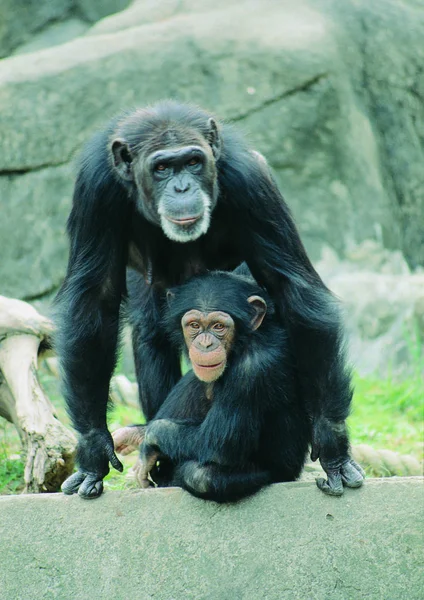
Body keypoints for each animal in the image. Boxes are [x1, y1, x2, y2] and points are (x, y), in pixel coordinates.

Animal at [112, 268, 364, 502]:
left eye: (218, 326)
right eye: (194, 325)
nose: (205, 344)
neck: (243, 343)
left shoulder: (252, 370)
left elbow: (218, 443)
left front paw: (148, 440)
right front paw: (136, 434)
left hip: (281, 472)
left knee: (201, 475)